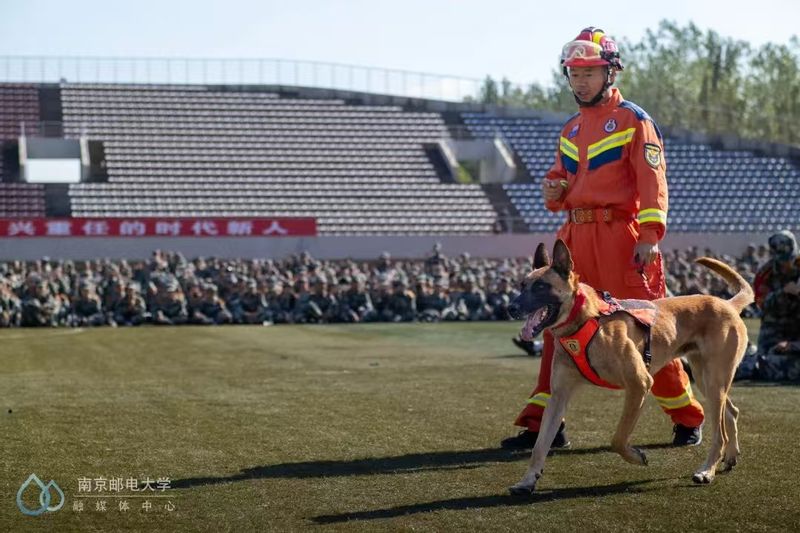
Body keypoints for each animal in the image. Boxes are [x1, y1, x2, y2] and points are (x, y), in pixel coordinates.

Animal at [506, 240, 754, 496]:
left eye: (541, 286)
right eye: (522, 285)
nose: (510, 308)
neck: (584, 321)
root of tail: (726, 303)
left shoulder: (639, 384)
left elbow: (618, 438)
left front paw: (636, 456)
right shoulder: (558, 397)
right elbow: (540, 445)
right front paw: (528, 480)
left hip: (713, 381)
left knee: (720, 434)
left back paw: (707, 470)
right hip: (707, 379)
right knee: (731, 411)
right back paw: (730, 457)